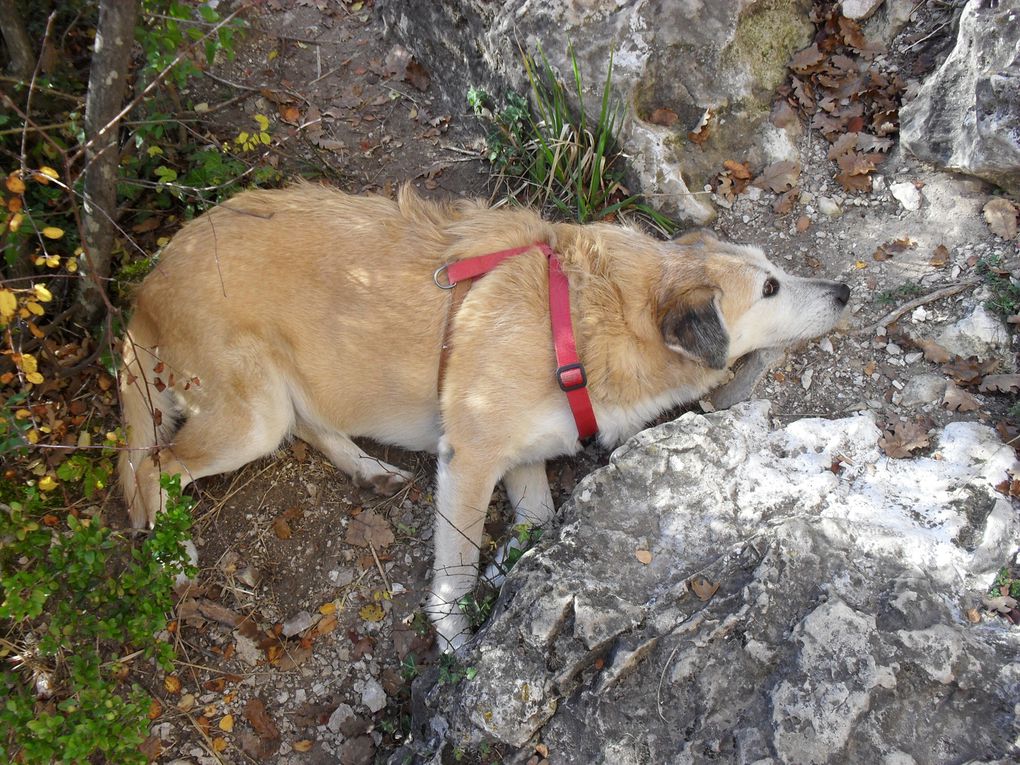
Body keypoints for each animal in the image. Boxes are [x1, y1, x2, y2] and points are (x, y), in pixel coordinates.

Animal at [121, 182, 852, 648]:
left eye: (773, 268)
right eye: (770, 287)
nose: (845, 289)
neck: (582, 320)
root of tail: (148, 279)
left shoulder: (524, 460)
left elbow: (538, 527)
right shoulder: (470, 462)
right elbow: (457, 571)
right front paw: (455, 639)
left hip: (286, 395)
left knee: (307, 424)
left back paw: (366, 468)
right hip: (249, 417)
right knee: (156, 464)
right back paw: (170, 557)